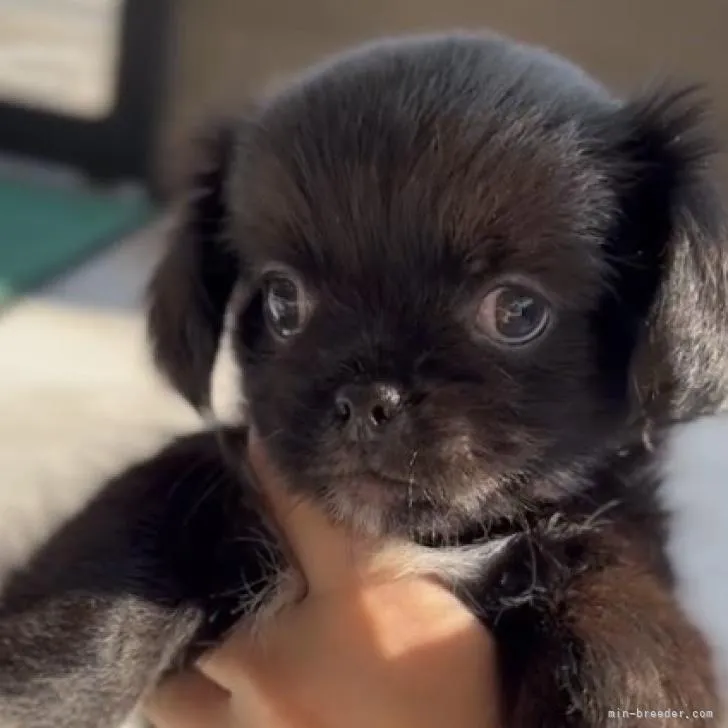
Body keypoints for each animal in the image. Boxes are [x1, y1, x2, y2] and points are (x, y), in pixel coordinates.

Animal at [1, 32, 728, 728]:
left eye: (517, 312)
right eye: (282, 301)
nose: (365, 400)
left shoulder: (609, 539)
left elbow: (620, 603)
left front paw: (622, 691)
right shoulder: (219, 478)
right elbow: (130, 531)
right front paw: (39, 693)